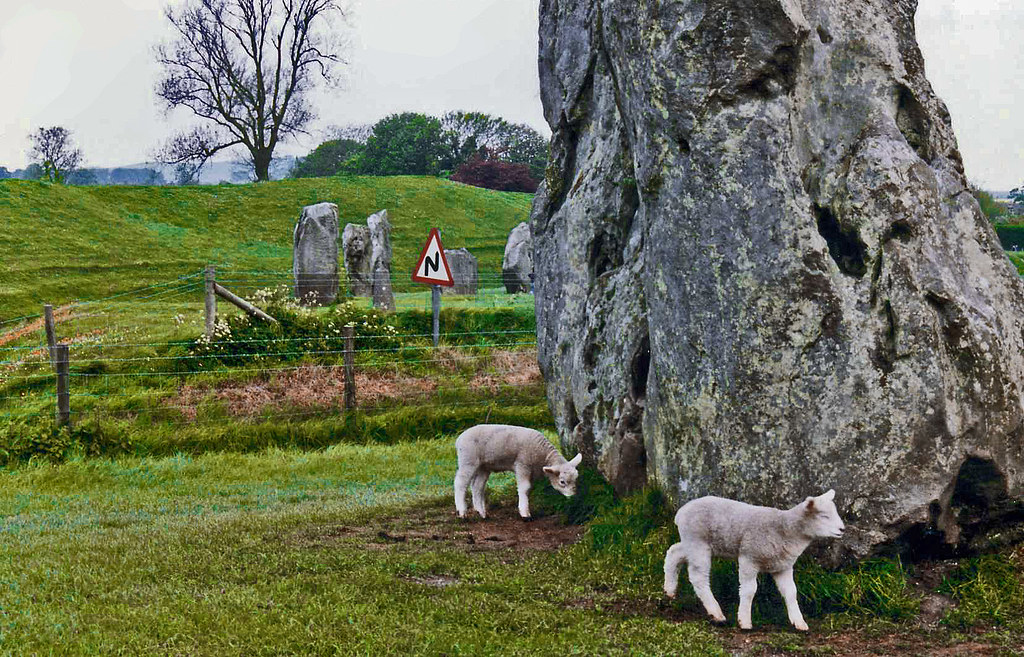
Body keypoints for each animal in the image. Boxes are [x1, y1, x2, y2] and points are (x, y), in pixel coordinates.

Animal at [452, 421, 581, 519]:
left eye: (576, 479)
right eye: (562, 482)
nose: (573, 496)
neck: (542, 454)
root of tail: (459, 439)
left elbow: (529, 488)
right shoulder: (522, 465)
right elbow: (525, 488)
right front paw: (525, 513)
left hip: (483, 466)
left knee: (477, 487)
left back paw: (482, 513)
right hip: (468, 460)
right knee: (460, 483)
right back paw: (462, 512)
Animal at [663, 489, 847, 626]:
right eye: (824, 516)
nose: (842, 529)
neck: (785, 529)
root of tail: (681, 512)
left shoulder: (783, 566)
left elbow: (791, 592)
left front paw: (799, 622)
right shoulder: (749, 558)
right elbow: (749, 590)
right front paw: (744, 621)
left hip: (692, 542)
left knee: (674, 552)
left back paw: (669, 590)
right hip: (698, 543)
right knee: (698, 577)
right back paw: (716, 613)